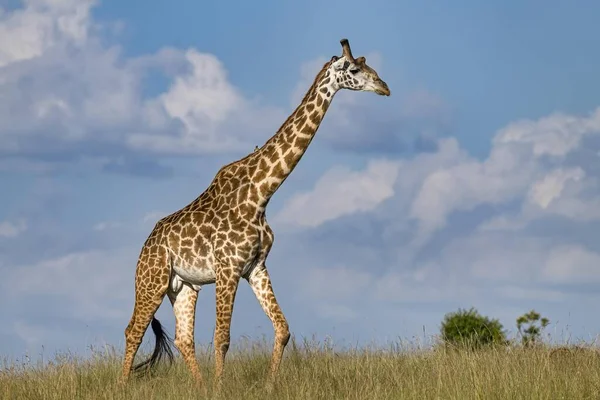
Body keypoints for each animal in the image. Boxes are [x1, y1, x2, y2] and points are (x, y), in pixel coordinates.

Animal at [121, 37, 392, 390]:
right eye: (355, 69)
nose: (385, 87)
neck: (262, 193)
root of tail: (146, 245)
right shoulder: (228, 268)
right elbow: (222, 337)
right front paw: (220, 389)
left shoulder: (256, 267)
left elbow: (283, 329)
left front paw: (267, 385)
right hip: (151, 280)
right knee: (133, 331)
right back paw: (121, 386)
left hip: (183, 286)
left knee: (183, 338)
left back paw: (199, 386)